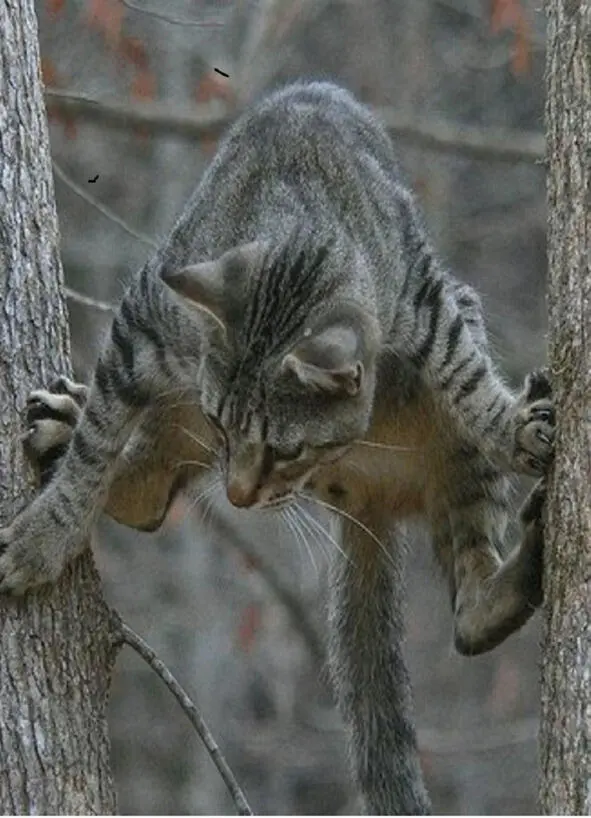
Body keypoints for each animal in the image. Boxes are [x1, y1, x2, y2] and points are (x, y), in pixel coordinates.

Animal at [0, 81, 556, 808]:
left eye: (287, 451)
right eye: (220, 423)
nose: (238, 495)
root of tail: (372, 505)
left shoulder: (432, 301)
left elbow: (466, 376)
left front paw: (514, 426)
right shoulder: (142, 324)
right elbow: (95, 453)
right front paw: (43, 539)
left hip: (455, 451)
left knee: (469, 612)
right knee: (144, 490)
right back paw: (65, 426)